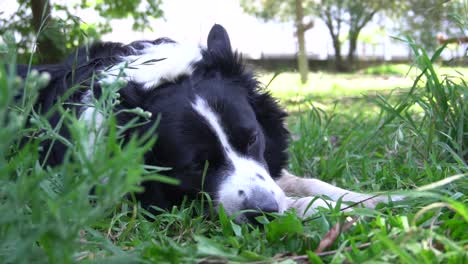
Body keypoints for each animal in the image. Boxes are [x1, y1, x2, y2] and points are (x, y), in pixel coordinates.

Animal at [16, 24, 400, 223]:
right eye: (195, 166)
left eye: (252, 139)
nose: (264, 211)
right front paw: (320, 208)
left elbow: (303, 180)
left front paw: (380, 198)